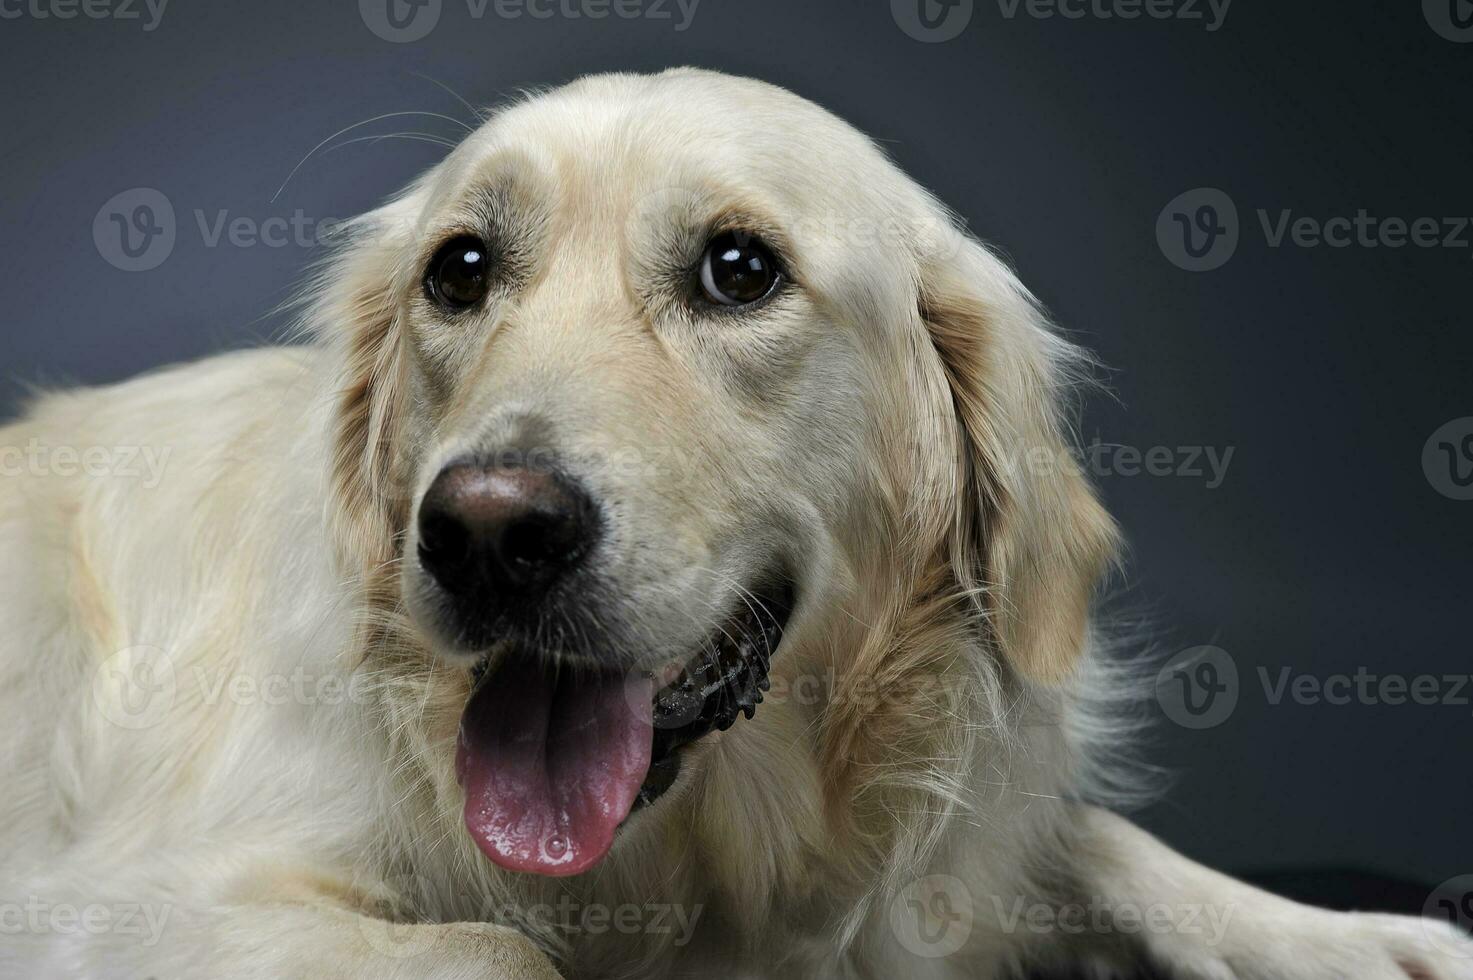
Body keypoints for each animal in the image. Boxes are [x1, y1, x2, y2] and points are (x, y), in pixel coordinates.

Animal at [0, 68, 1467, 978]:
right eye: (458, 269)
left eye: (738, 269)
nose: (485, 534)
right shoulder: (105, 909)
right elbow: (500, 948)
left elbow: (1080, 832)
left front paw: (1348, 935)